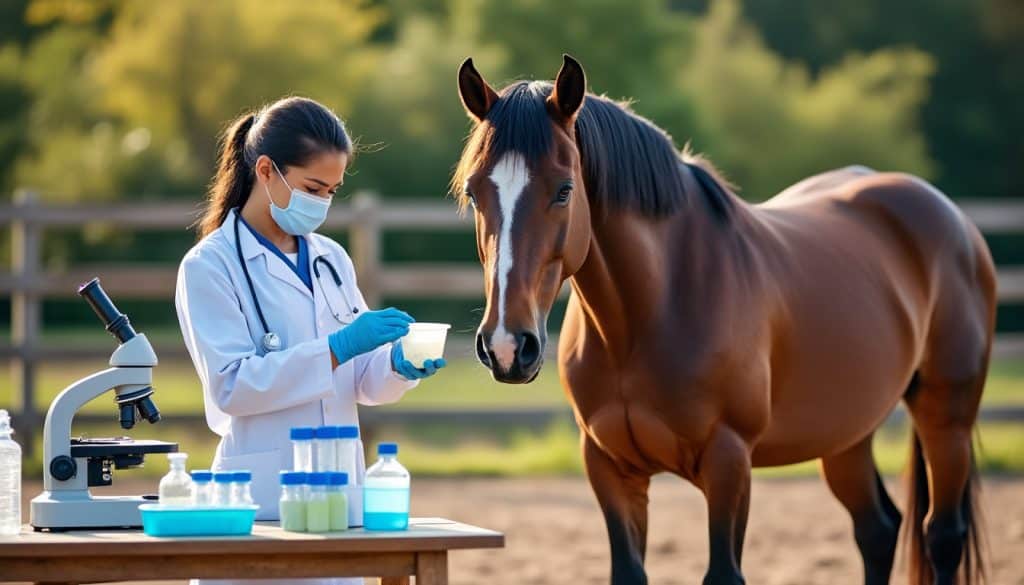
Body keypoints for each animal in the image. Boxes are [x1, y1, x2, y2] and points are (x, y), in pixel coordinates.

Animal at [451, 55, 994, 585]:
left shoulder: (729, 462)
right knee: (877, 530)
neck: (649, 313)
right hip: (847, 435)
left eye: (565, 190)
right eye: (475, 194)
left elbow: (723, 573)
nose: (507, 346)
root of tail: (951, 217)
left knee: (942, 535)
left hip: (946, 418)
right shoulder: (609, 467)